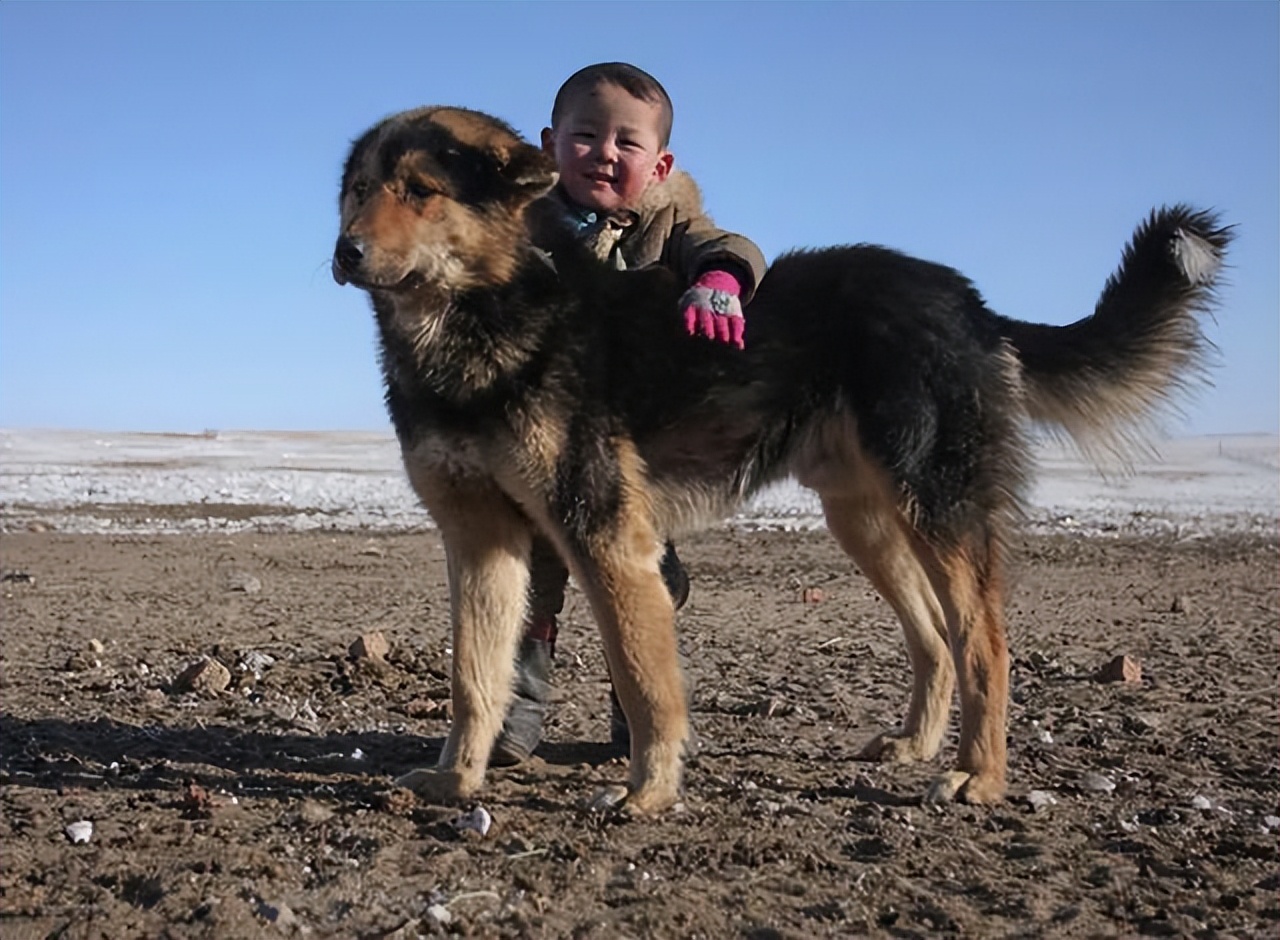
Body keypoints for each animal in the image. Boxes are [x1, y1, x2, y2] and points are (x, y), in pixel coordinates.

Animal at [330, 105, 1228, 819]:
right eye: (359, 189)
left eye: (421, 190)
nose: (344, 251)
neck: (486, 313)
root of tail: (969, 303)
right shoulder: (481, 540)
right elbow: (474, 677)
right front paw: (455, 782)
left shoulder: (605, 536)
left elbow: (645, 681)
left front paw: (647, 792)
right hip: (865, 519)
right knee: (934, 639)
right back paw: (914, 746)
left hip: (937, 507)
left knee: (983, 642)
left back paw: (979, 778)